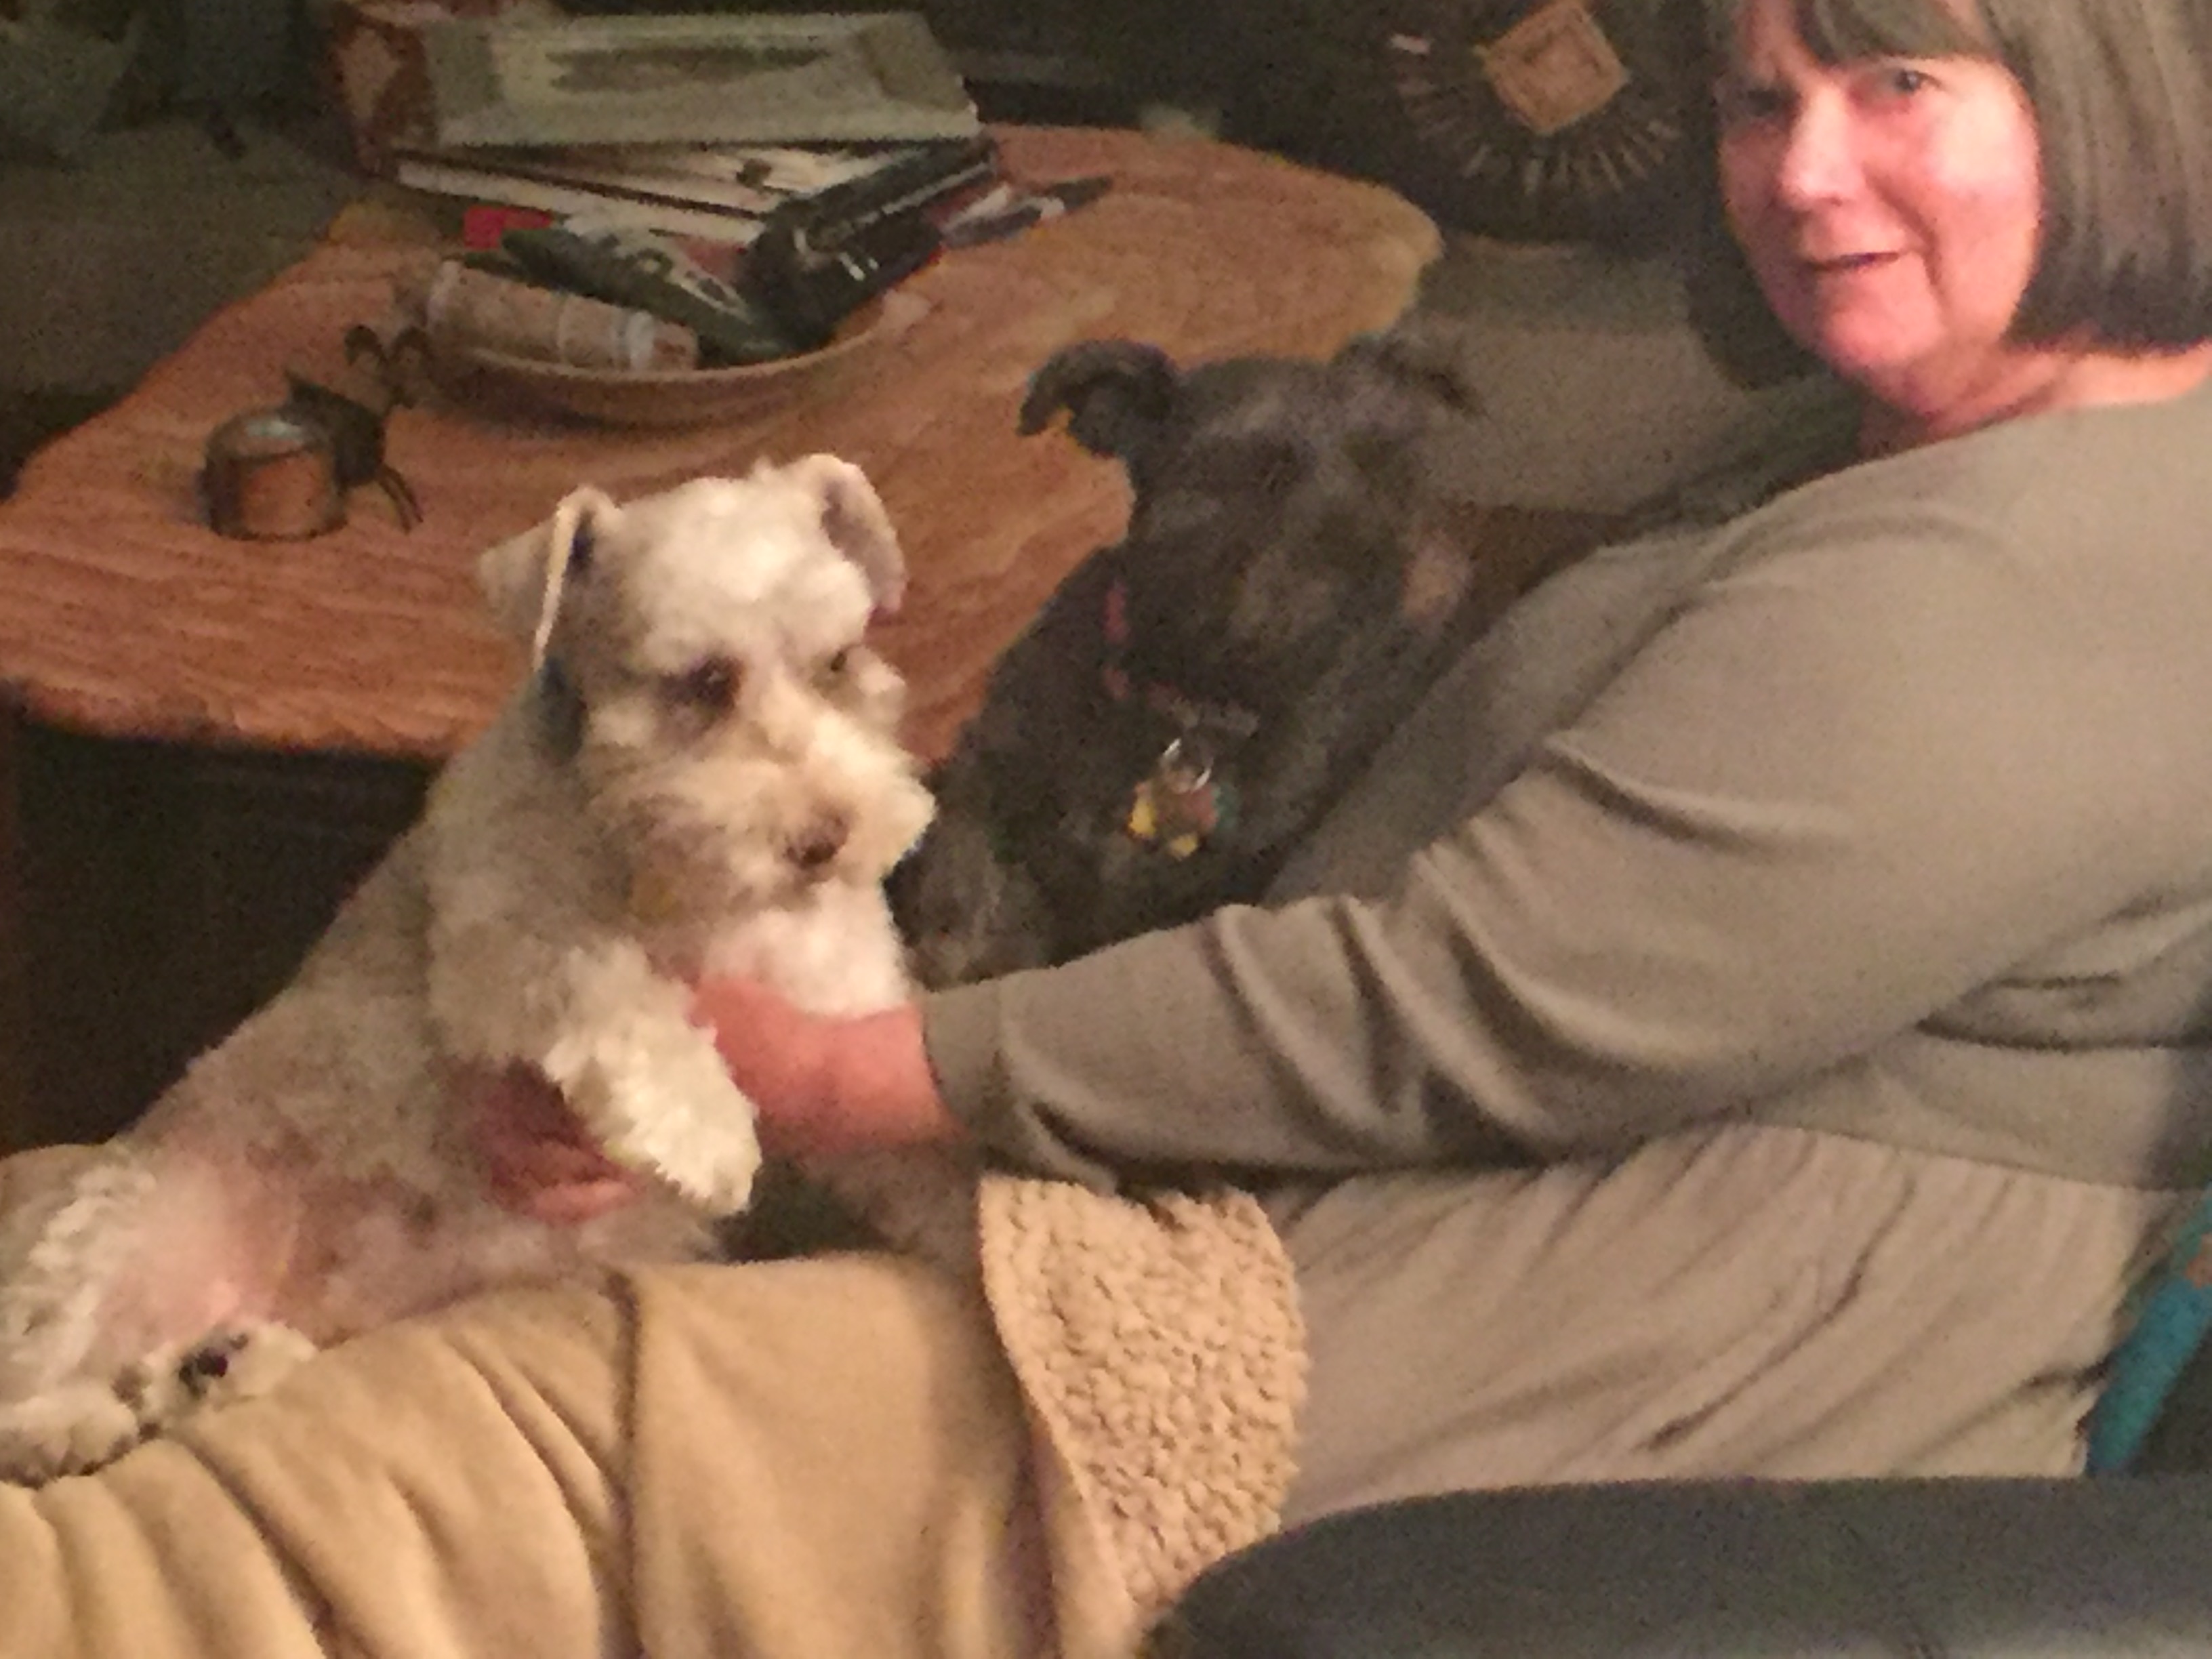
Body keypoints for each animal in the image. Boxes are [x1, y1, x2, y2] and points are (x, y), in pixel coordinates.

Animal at [0, 455, 935, 1483]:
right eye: (703, 680)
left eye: (840, 660)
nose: (828, 837)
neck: (678, 874)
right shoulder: (504, 948)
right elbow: (611, 985)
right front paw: (704, 1131)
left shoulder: (834, 1003)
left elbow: (887, 1127)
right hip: (113, 1232)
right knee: (34, 1374)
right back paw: (72, 1421)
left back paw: (218, 1365)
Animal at [889, 319, 1613, 988]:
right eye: (1216, 480)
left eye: (1384, 468)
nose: (1415, 574)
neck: (1189, 710)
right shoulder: (985, 778)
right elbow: (967, 884)